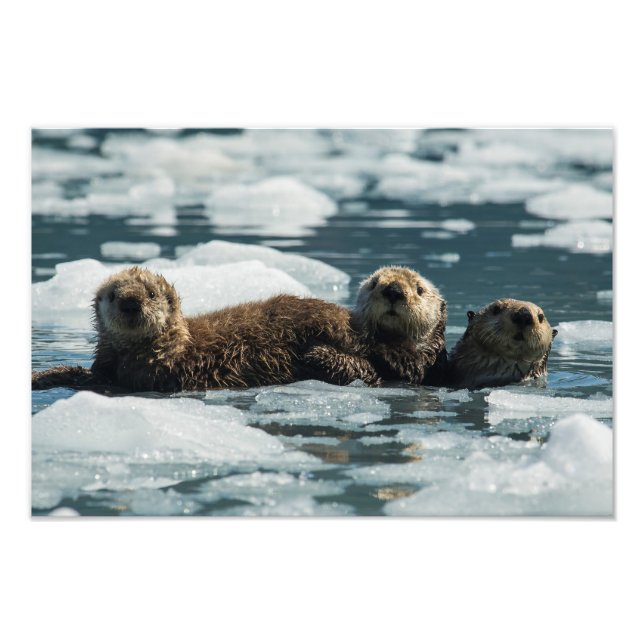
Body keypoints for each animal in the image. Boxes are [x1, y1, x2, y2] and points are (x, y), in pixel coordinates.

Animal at [32, 267, 381, 393]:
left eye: (151, 293)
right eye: (114, 295)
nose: (131, 303)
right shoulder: (107, 367)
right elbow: (87, 374)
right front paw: (43, 376)